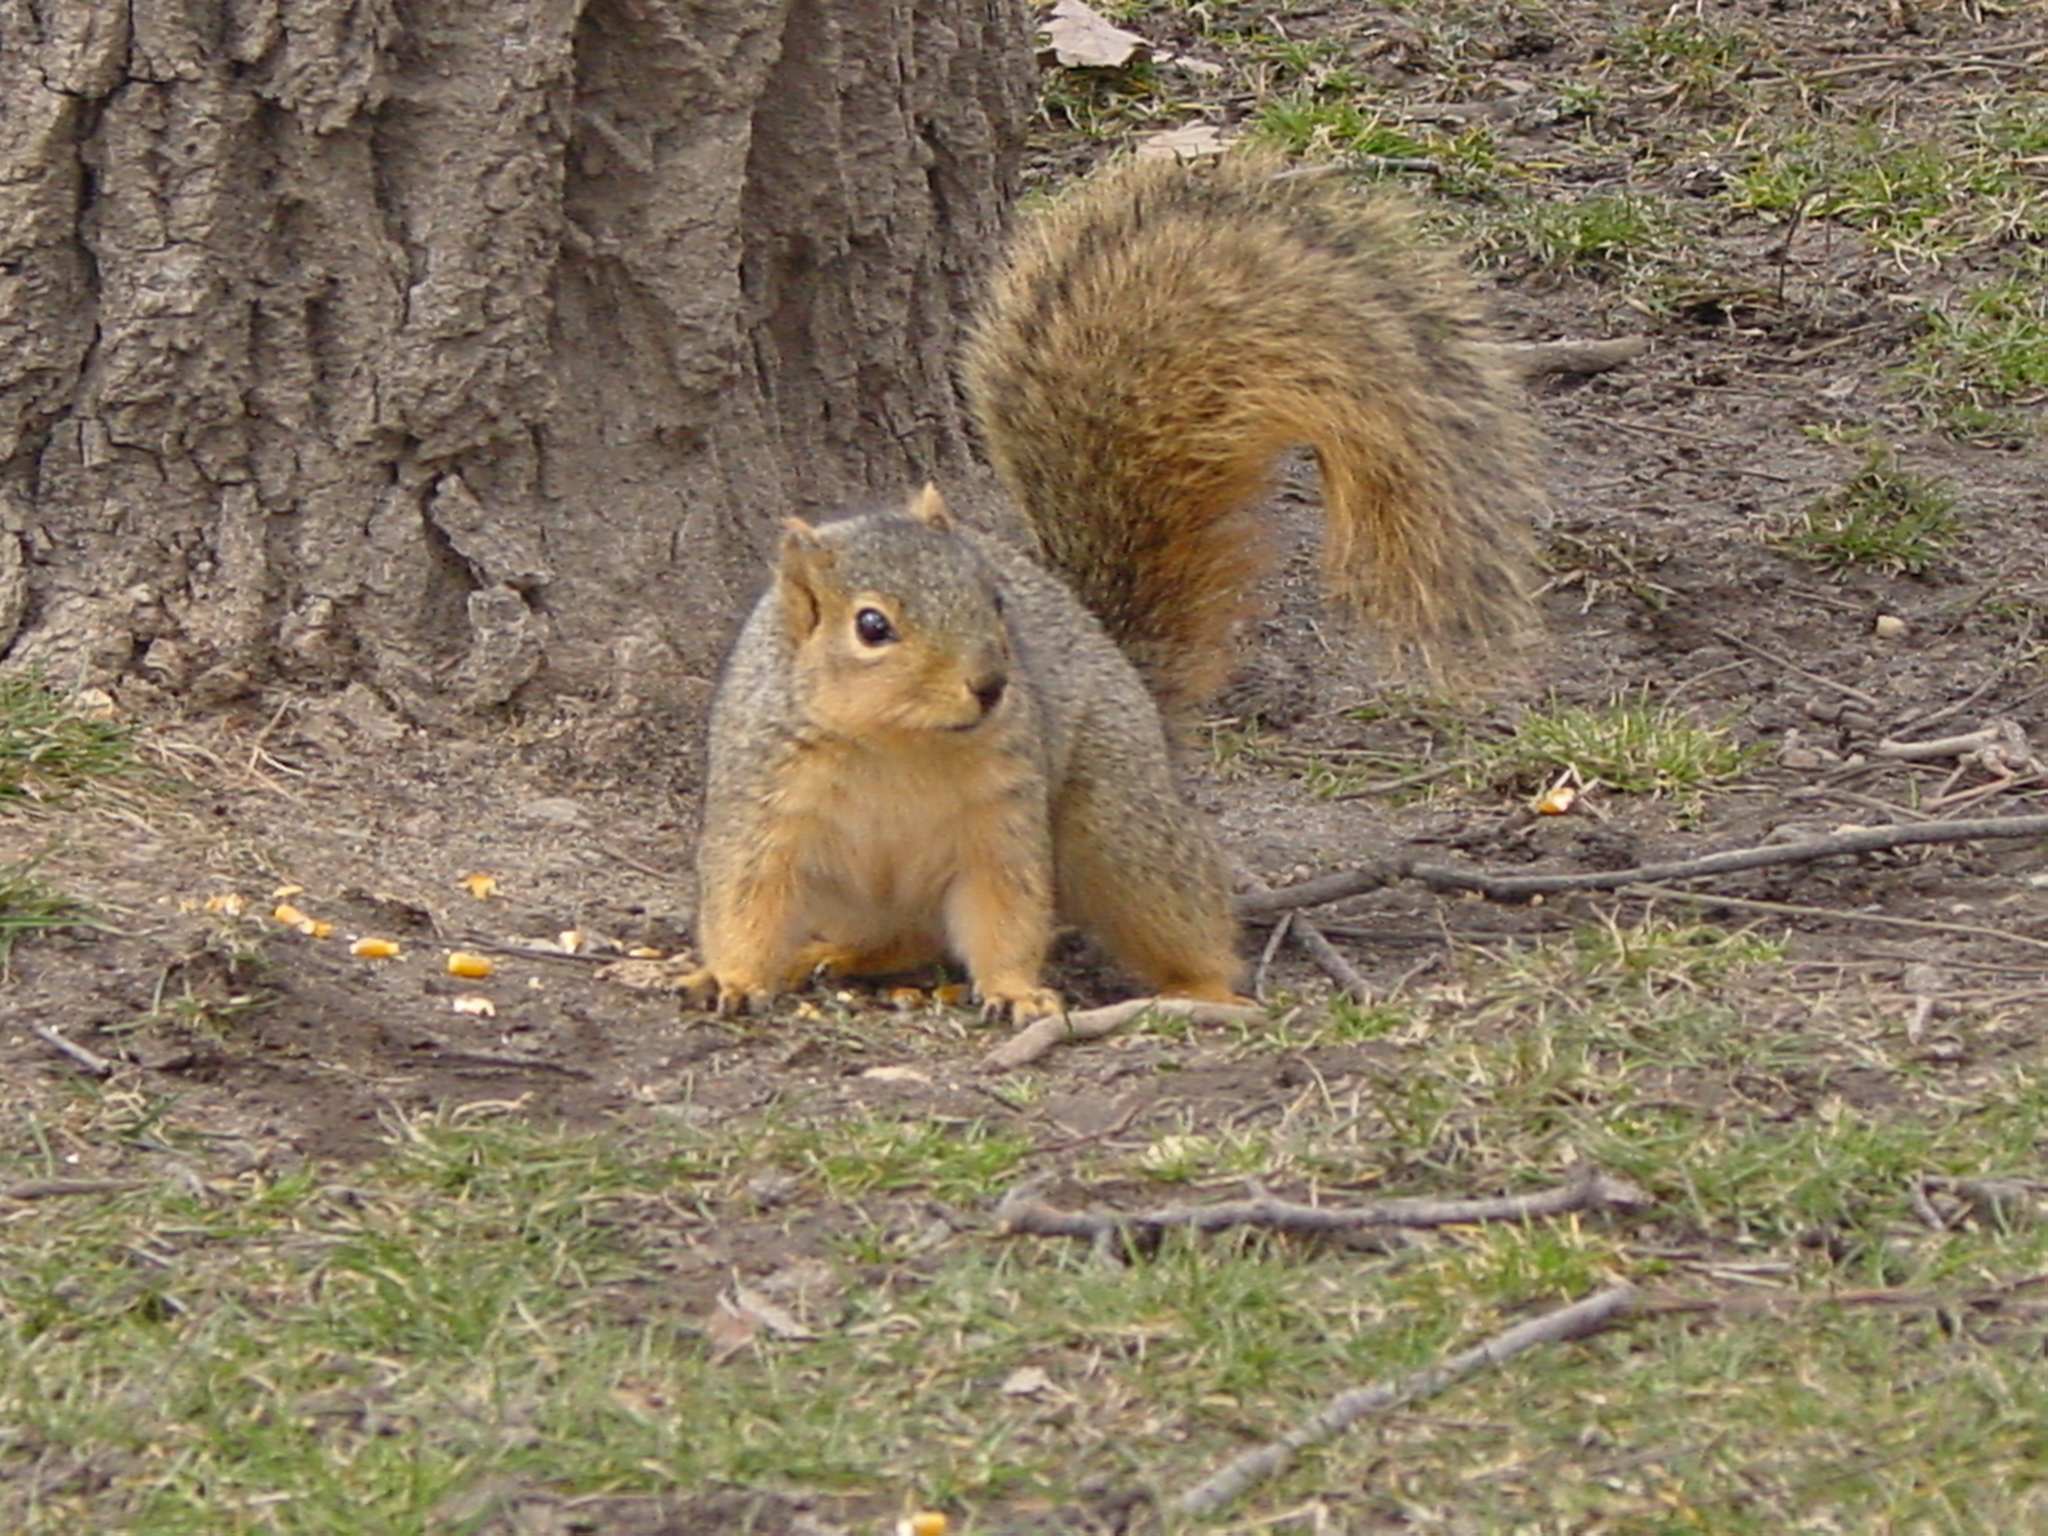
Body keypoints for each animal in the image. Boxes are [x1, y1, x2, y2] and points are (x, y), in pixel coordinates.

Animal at [682, 152, 1543, 1020]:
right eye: (871, 627)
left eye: (996, 598)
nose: (991, 685)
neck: (902, 745)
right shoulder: (767, 805)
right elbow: (744, 900)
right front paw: (733, 974)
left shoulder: (1005, 815)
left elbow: (1006, 908)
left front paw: (1018, 994)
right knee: (896, 939)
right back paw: (823, 953)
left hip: (1116, 821)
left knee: (1165, 910)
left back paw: (1204, 989)